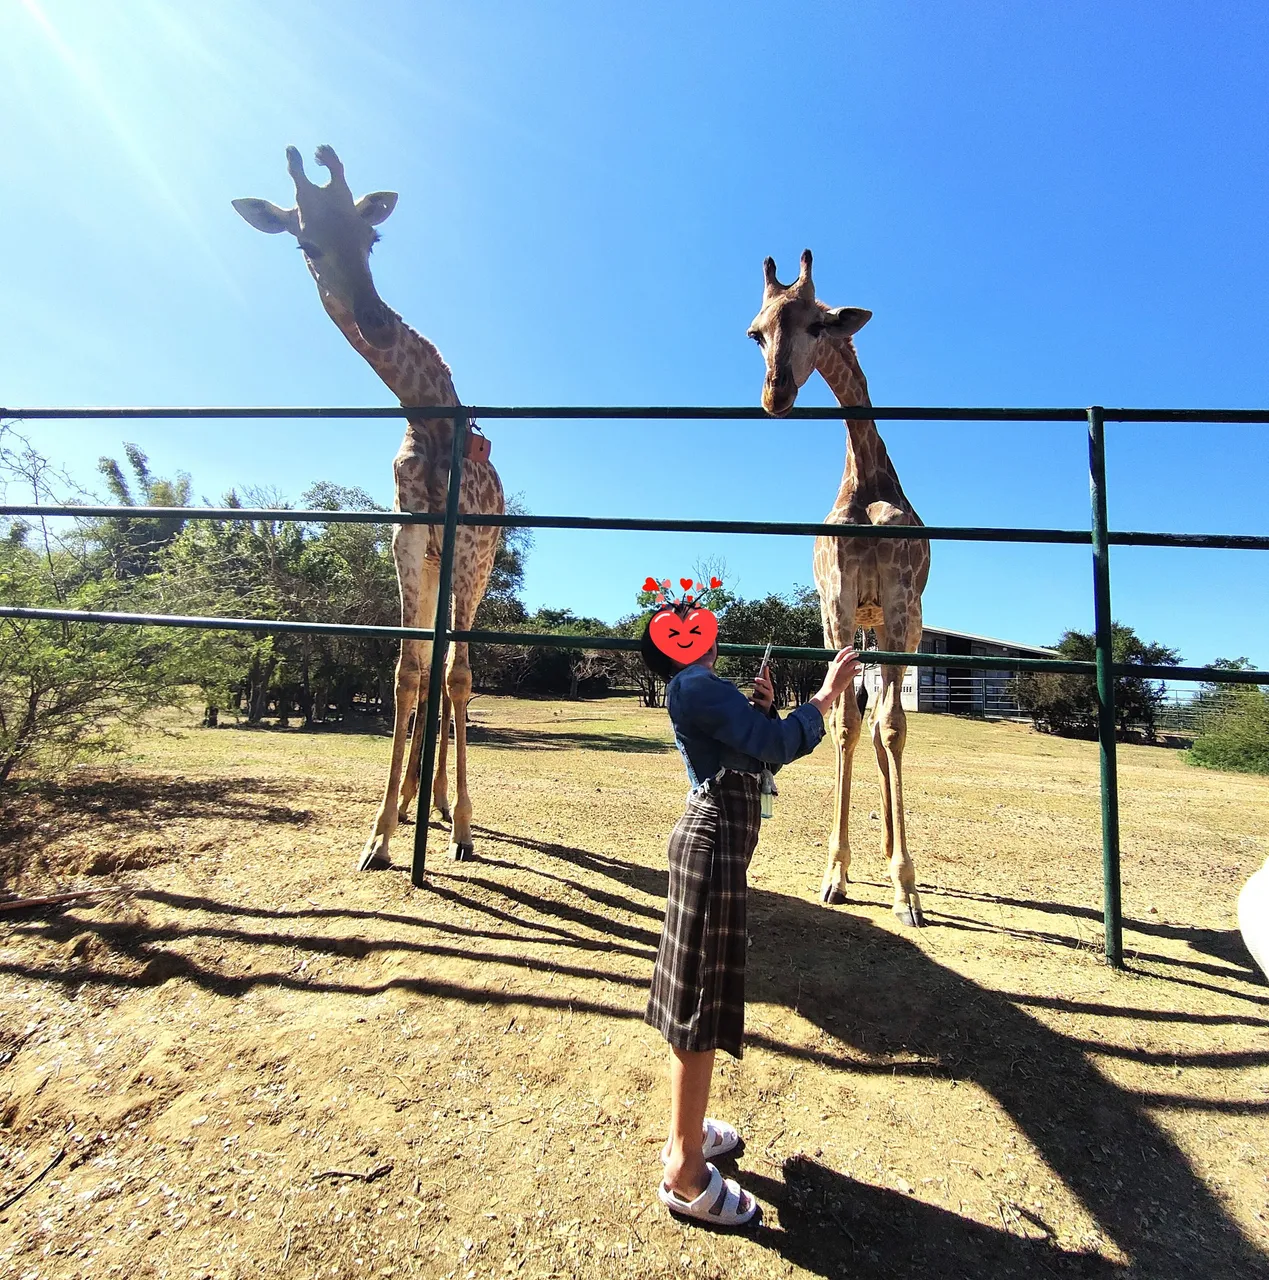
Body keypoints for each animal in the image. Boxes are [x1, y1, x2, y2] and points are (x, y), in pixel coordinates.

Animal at [235, 147, 504, 870]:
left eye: (372, 239)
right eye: (307, 243)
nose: (378, 321)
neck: (432, 420)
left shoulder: (467, 550)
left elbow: (459, 677)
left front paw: (463, 829)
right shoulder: (407, 543)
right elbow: (404, 675)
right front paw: (381, 833)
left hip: (472, 572)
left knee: (453, 672)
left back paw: (443, 806)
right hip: (436, 569)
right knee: (429, 670)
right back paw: (417, 799)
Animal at [742, 249, 932, 926]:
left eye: (819, 324)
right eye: (757, 333)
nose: (775, 393)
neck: (867, 483)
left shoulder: (899, 603)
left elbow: (893, 727)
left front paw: (905, 888)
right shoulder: (837, 606)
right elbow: (846, 726)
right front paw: (836, 873)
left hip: (909, 626)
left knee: (886, 724)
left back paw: (894, 856)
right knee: (867, 721)